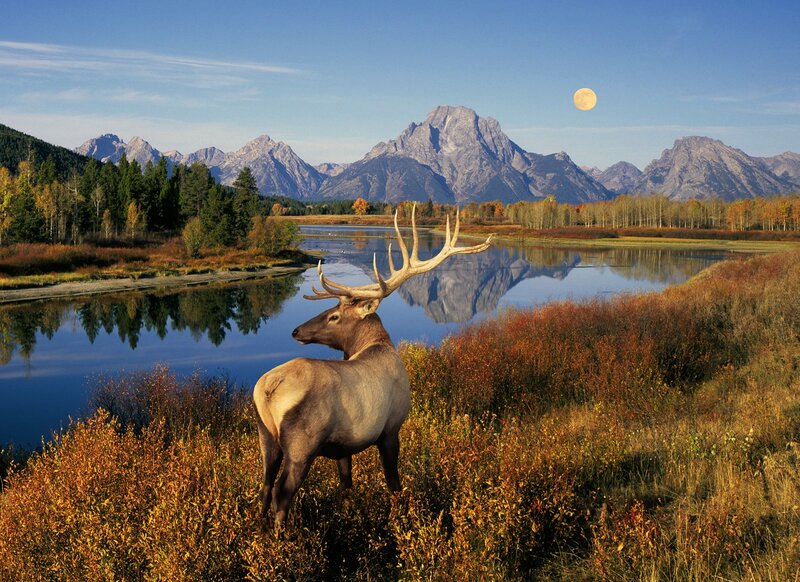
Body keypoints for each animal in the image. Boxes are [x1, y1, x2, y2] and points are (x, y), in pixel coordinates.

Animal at [252, 205, 492, 525]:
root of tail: (268, 389)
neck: (377, 344)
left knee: (265, 487)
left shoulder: (343, 446)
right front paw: (400, 514)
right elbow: (394, 483)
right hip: (302, 445)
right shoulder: (391, 428)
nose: (296, 331)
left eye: (334, 316)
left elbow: (346, 484)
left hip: (266, 436)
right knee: (282, 493)